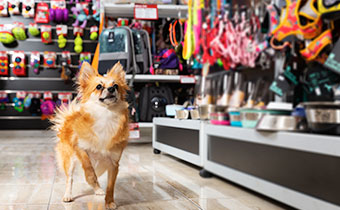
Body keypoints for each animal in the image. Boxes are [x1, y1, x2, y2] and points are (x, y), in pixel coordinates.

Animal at [51, 61, 130, 209]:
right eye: (99, 86)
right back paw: (68, 195)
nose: (111, 89)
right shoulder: (79, 148)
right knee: (70, 178)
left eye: (116, 85)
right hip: (69, 159)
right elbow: (89, 169)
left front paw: (109, 202)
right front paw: (91, 179)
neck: (106, 115)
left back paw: (98, 189)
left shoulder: (113, 163)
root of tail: (69, 118)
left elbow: (111, 185)